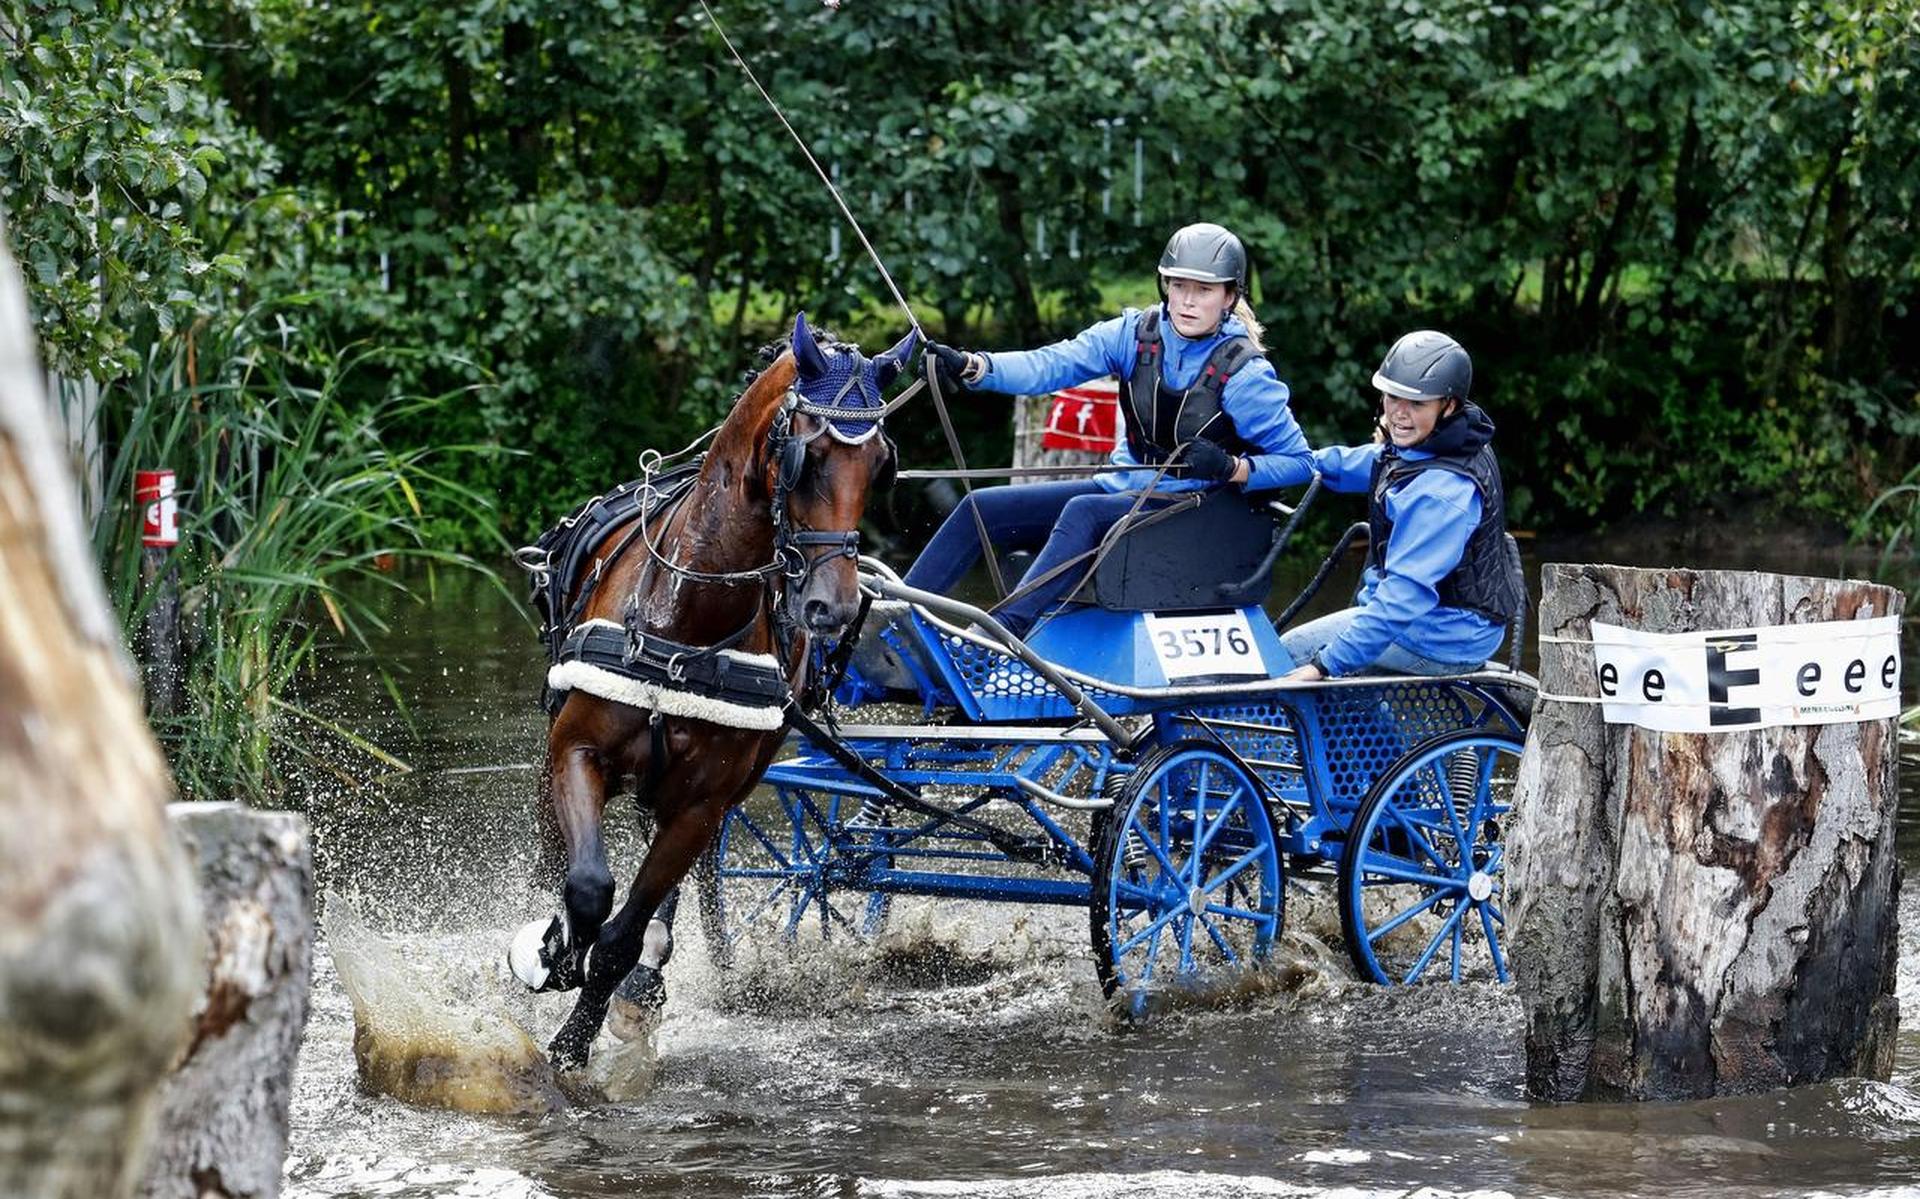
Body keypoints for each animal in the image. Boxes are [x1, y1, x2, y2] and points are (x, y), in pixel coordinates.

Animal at [511, 312, 916, 1069]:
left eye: (880, 462)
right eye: (809, 454)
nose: (832, 607)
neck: (688, 620)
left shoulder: (702, 804)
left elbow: (623, 937)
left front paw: (574, 1047)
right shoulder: (576, 751)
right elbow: (587, 887)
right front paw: (553, 950)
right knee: (558, 858)